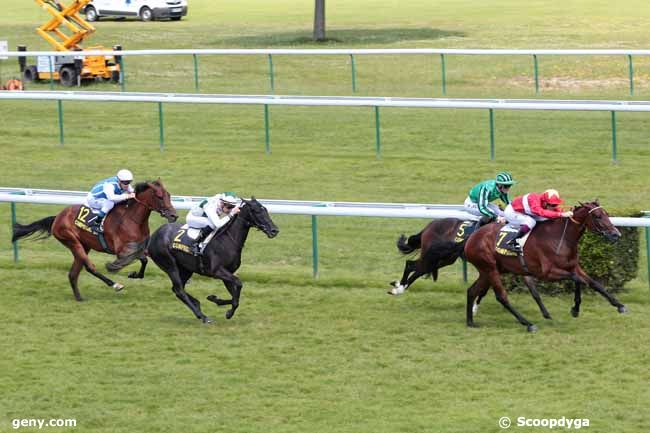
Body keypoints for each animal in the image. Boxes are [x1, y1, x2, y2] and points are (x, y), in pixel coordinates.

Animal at [12, 179, 177, 300]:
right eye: (159, 196)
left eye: (169, 195)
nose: (174, 215)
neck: (132, 219)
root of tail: (57, 217)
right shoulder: (121, 250)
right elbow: (137, 259)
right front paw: (116, 268)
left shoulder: (140, 247)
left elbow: (144, 260)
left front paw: (135, 274)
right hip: (72, 241)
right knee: (90, 267)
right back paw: (115, 285)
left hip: (84, 246)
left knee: (73, 273)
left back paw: (79, 298)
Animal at [148, 197, 278, 322]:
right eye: (257, 211)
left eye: (266, 210)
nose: (274, 230)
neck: (227, 240)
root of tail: (153, 236)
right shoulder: (216, 271)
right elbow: (238, 283)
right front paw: (228, 311)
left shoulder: (228, 272)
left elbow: (234, 295)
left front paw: (215, 300)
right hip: (170, 266)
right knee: (179, 290)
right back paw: (203, 316)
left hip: (186, 269)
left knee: (176, 289)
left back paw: (197, 304)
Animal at [460, 201, 624, 332]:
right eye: (597, 216)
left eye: (606, 214)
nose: (616, 234)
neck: (560, 237)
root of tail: (472, 237)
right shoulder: (547, 273)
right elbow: (577, 279)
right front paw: (575, 309)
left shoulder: (573, 267)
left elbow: (594, 283)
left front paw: (619, 305)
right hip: (490, 268)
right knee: (501, 297)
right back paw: (528, 324)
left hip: (489, 270)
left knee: (472, 291)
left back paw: (470, 322)